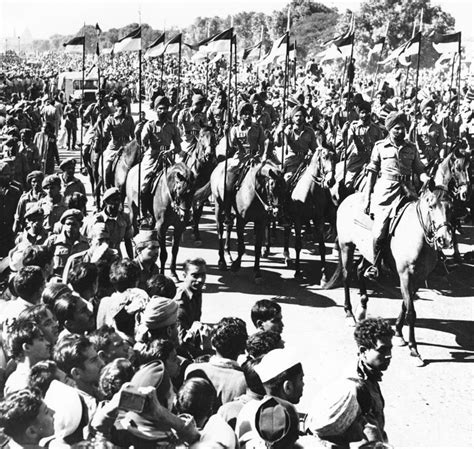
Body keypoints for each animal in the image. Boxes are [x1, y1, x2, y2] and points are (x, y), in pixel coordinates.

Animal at [284, 146, 336, 280]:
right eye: (324, 157)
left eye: (335, 157)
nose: (331, 181)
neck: (310, 190)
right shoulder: (297, 220)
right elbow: (297, 245)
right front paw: (297, 271)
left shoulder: (319, 220)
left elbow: (322, 247)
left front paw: (324, 275)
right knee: (286, 232)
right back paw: (286, 255)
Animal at [324, 180, 454, 366]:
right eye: (431, 205)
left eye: (451, 207)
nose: (445, 239)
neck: (417, 235)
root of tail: (347, 198)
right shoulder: (405, 275)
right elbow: (411, 312)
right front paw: (414, 350)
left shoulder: (418, 278)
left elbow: (405, 305)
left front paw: (399, 333)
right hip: (346, 246)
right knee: (347, 276)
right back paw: (349, 313)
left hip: (368, 253)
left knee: (360, 270)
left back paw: (362, 308)